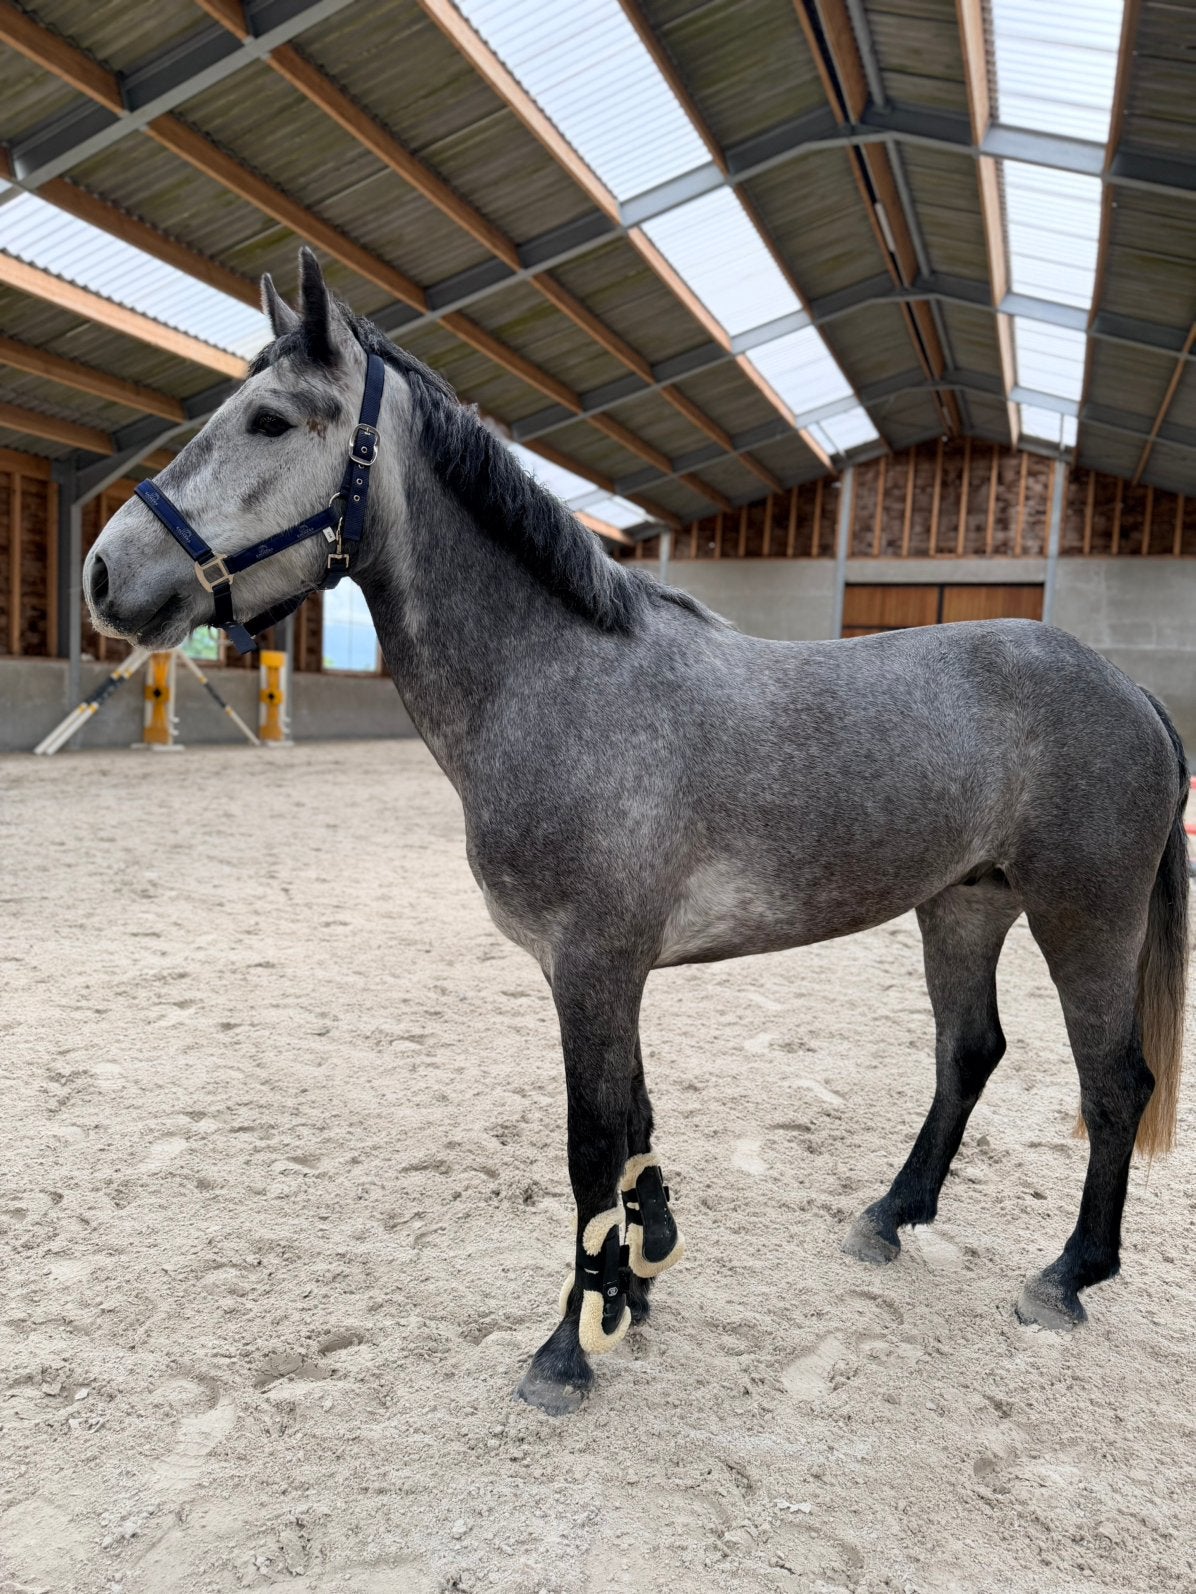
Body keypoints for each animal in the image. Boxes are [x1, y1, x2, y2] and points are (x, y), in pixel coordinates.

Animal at [85, 250, 1188, 1416]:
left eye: (271, 419)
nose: (106, 574)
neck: (563, 681)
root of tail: (1128, 687)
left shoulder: (593, 964)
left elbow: (588, 1146)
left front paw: (568, 1348)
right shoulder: (604, 969)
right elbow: (636, 1125)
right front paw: (638, 1280)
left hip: (1084, 918)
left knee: (1113, 1084)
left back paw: (1067, 1275)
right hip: (964, 906)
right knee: (966, 1053)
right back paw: (890, 1217)